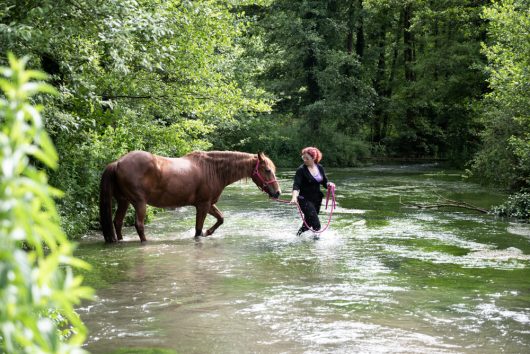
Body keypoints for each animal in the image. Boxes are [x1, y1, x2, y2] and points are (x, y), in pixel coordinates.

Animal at [99, 149, 280, 243]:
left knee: (118, 222)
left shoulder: (208, 204)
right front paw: (204, 233)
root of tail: (118, 162)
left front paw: (209, 232)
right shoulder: (203, 205)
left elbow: (220, 219)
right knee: (139, 224)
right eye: (267, 170)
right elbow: (198, 230)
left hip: (124, 201)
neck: (212, 169)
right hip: (139, 203)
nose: (277, 193)